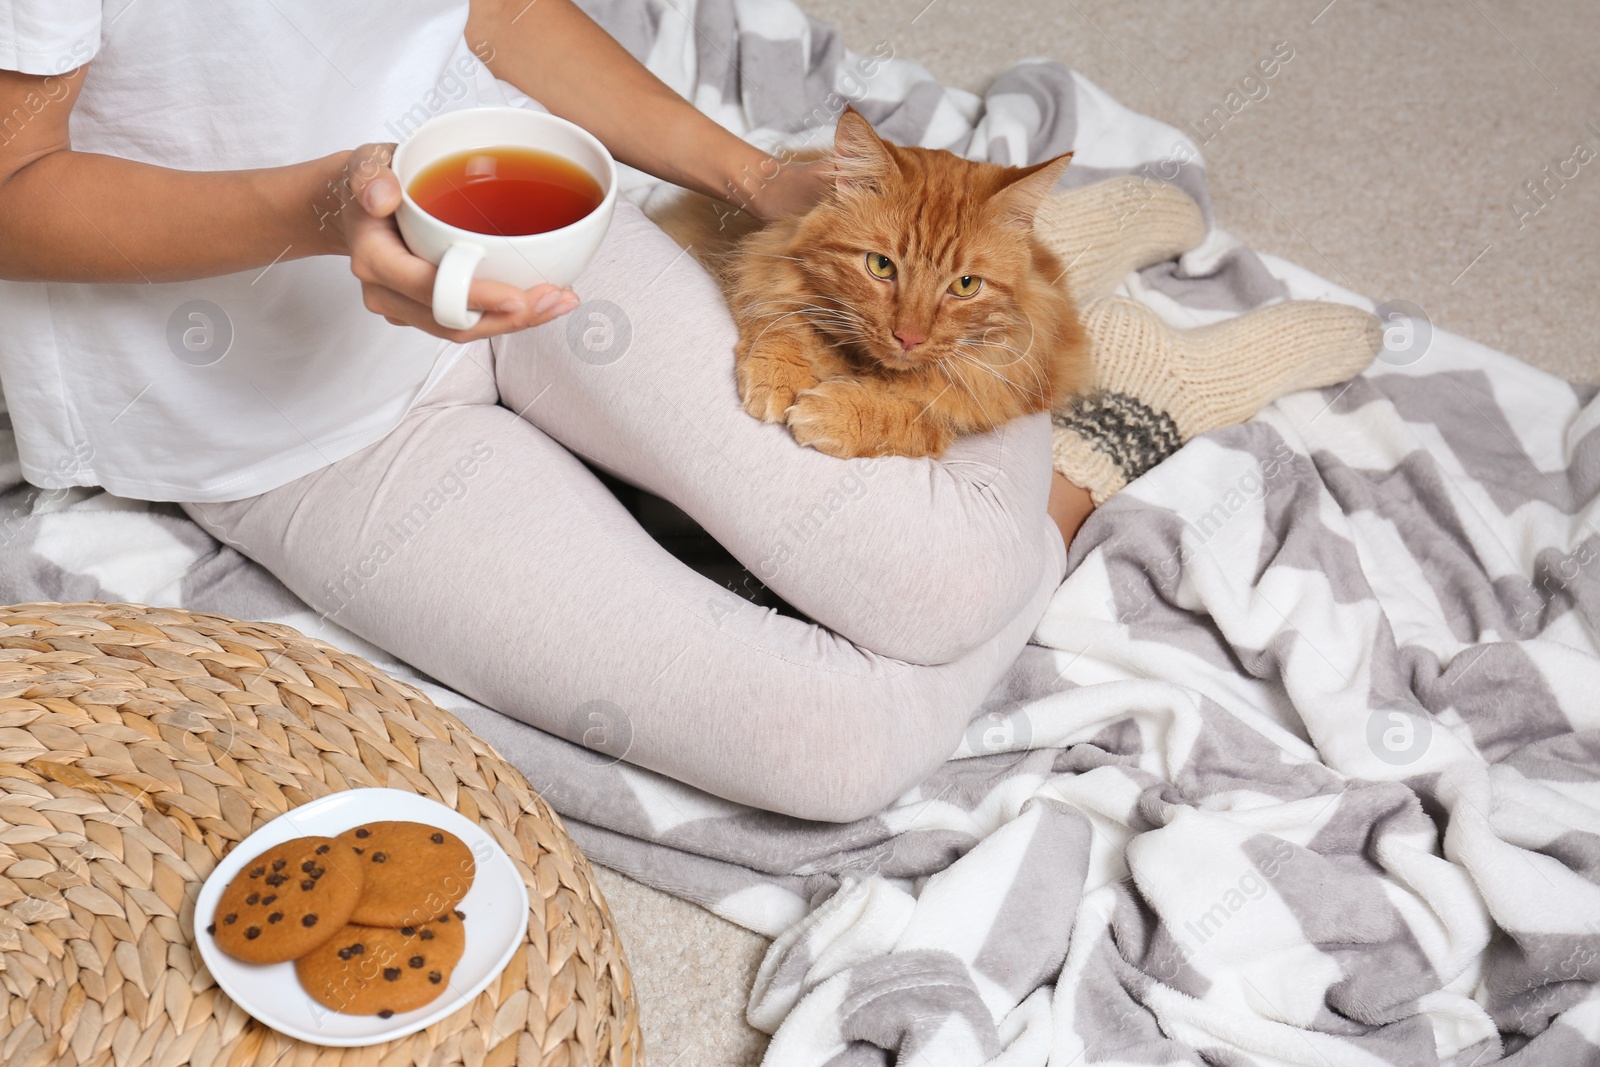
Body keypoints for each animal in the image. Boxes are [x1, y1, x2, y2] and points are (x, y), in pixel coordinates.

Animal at [684, 103, 1088, 460]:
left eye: (965, 285)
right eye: (881, 265)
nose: (909, 338)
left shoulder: (972, 401)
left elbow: (911, 412)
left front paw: (838, 414)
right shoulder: (766, 265)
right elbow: (785, 321)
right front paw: (780, 375)